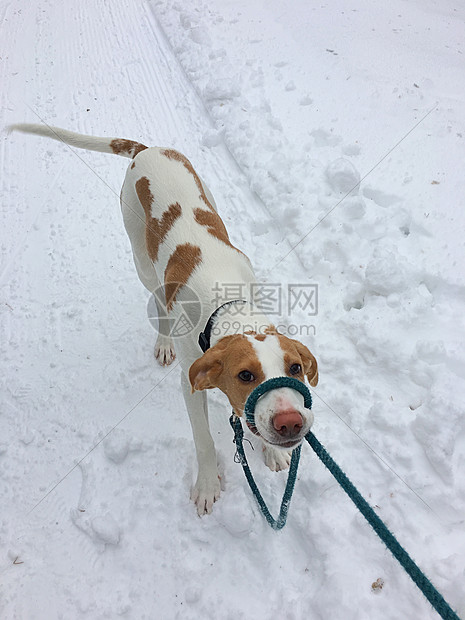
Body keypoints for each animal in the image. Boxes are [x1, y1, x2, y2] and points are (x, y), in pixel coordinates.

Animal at [9, 123, 318, 516]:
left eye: (295, 369)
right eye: (245, 376)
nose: (290, 422)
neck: (226, 305)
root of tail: (147, 149)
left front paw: (271, 453)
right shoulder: (191, 380)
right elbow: (203, 438)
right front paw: (207, 484)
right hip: (141, 256)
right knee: (157, 299)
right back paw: (163, 341)